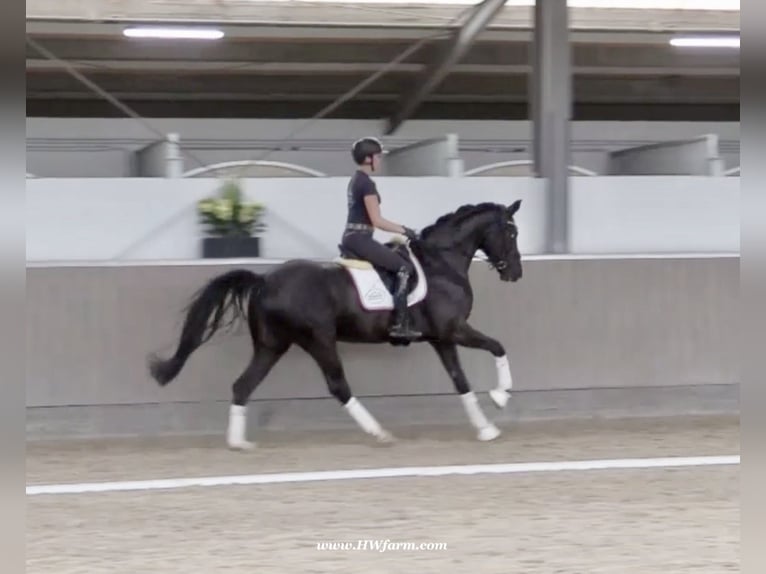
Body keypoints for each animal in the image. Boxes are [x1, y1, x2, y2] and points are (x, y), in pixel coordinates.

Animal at [149, 201, 520, 450]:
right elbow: (498, 347)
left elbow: (461, 381)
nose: (515, 273)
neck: (441, 263)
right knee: (338, 386)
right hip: (319, 340)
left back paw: (239, 443)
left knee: (242, 386)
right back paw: (380, 433)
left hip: (272, 345)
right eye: (511, 231)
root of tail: (265, 281)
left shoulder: (441, 337)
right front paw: (501, 397)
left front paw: (486, 427)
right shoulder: (453, 330)